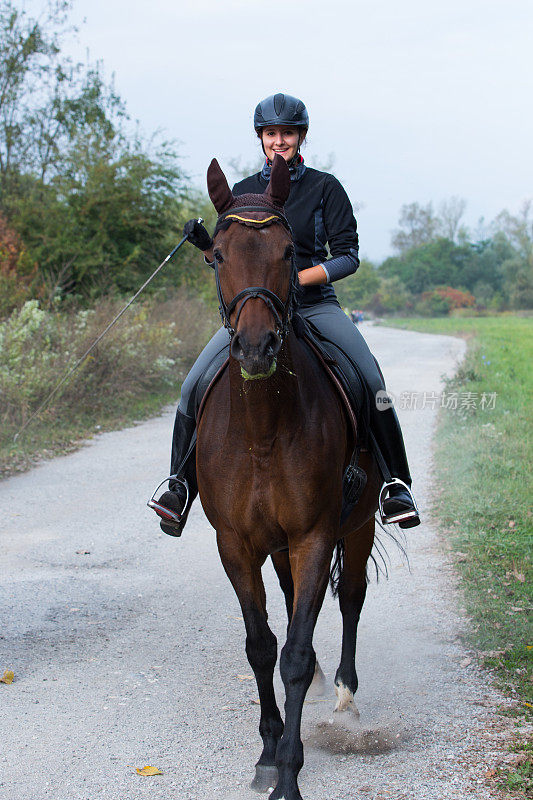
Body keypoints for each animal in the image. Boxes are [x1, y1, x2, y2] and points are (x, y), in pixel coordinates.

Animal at [197, 156, 380, 800]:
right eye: (218, 255)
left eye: (286, 251)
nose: (256, 347)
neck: (263, 433)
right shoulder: (236, 544)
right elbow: (261, 646)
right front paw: (267, 752)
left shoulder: (315, 537)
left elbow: (295, 655)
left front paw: (290, 774)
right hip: (275, 548)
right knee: (291, 598)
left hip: (357, 526)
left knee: (350, 598)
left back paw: (346, 691)